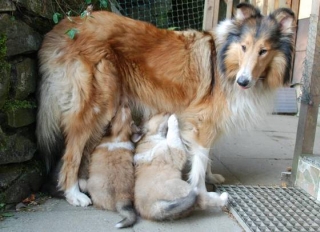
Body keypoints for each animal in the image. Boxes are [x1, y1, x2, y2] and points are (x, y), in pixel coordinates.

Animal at [37, 1, 296, 205]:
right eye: (244, 47)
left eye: (263, 51)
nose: (243, 82)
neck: (224, 60)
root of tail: (67, 26)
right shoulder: (202, 122)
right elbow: (200, 160)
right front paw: (202, 192)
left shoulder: (207, 122)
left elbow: (206, 155)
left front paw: (211, 176)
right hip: (97, 105)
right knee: (71, 153)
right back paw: (73, 194)